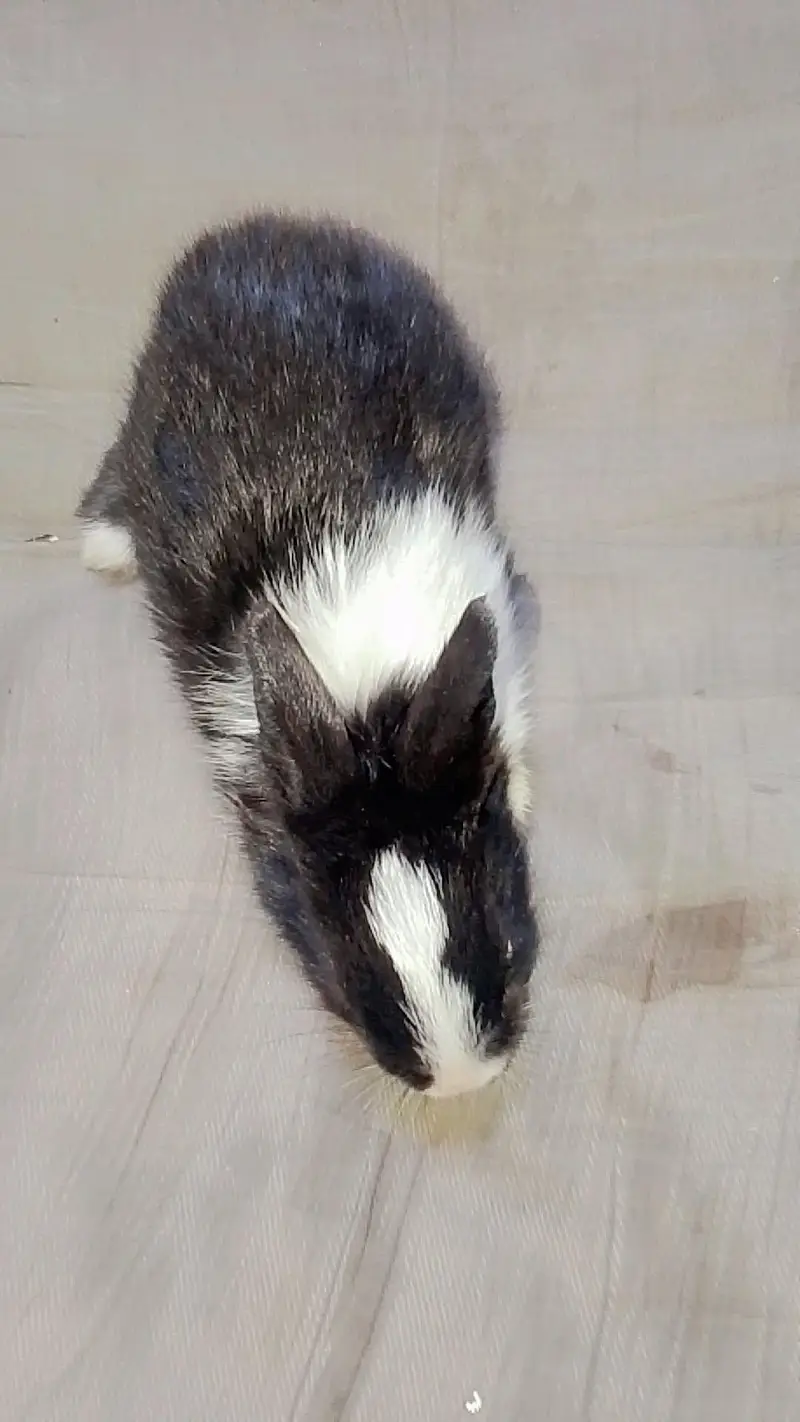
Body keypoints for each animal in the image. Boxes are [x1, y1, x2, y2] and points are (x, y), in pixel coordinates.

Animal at [77, 212, 540, 1098]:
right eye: (346, 974)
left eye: (503, 935)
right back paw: (104, 546)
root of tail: (256, 231)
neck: (372, 698)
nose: (460, 1080)